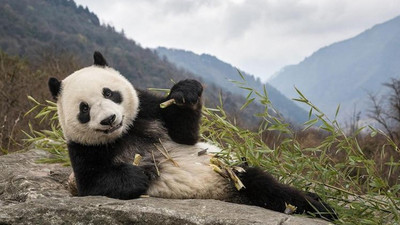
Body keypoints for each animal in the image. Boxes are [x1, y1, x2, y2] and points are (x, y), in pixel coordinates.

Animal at [47, 51, 338, 221]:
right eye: (84, 109)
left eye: (109, 93)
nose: (109, 119)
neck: (125, 133)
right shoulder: (83, 149)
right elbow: (92, 183)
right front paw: (139, 174)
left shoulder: (147, 109)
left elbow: (184, 133)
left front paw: (185, 92)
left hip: (228, 172)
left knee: (265, 184)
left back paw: (320, 206)